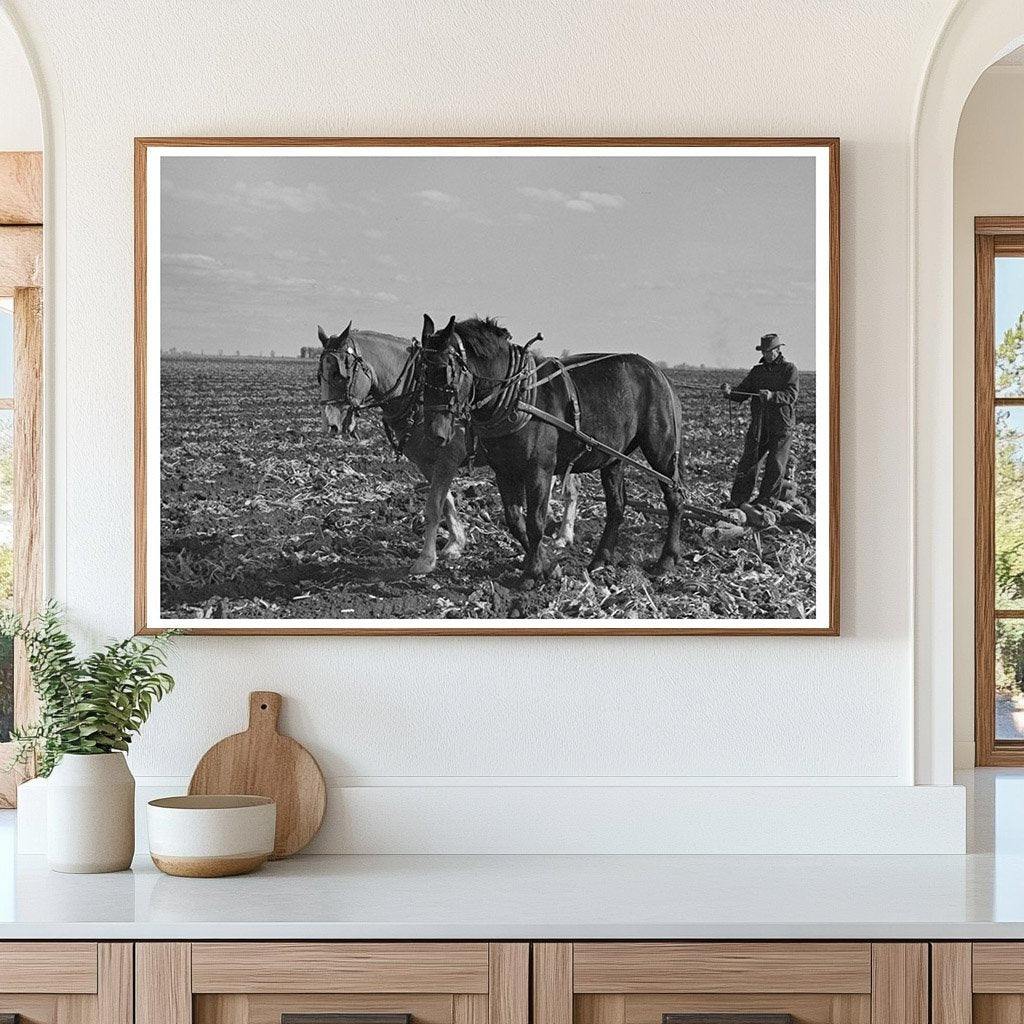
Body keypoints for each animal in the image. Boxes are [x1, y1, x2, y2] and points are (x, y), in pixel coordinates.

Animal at [419, 311, 684, 589]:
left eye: (446, 372)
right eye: (421, 372)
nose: (435, 433)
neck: (518, 395)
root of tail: (658, 373)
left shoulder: (539, 470)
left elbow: (536, 522)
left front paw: (531, 573)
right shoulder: (505, 471)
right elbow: (515, 520)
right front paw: (546, 566)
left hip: (662, 450)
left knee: (674, 499)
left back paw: (666, 560)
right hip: (613, 458)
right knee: (617, 506)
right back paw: (600, 560)